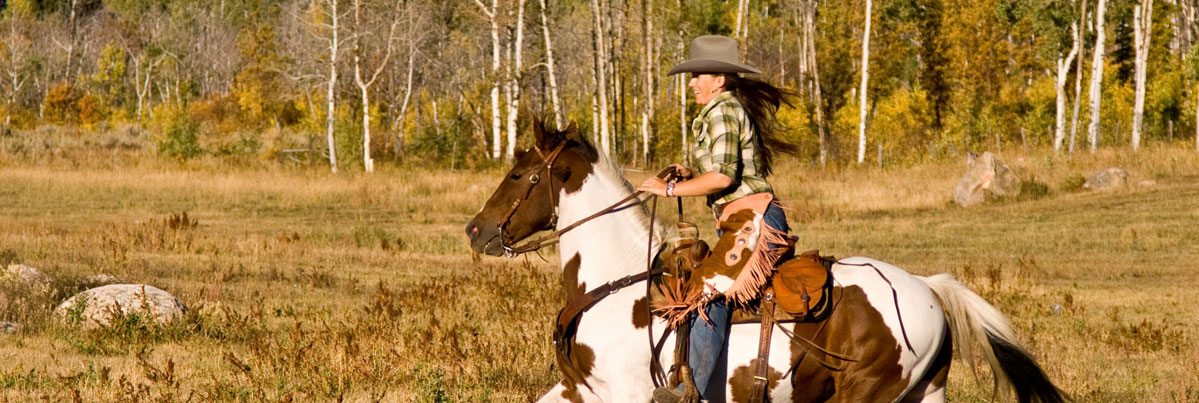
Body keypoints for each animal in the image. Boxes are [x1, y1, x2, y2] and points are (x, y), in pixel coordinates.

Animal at [465, 120, 1067, 403]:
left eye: (519, 174)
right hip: (923, 392)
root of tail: (926, 287)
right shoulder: (584, 390)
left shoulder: (627, 393)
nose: (476, 231)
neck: (617, 285)